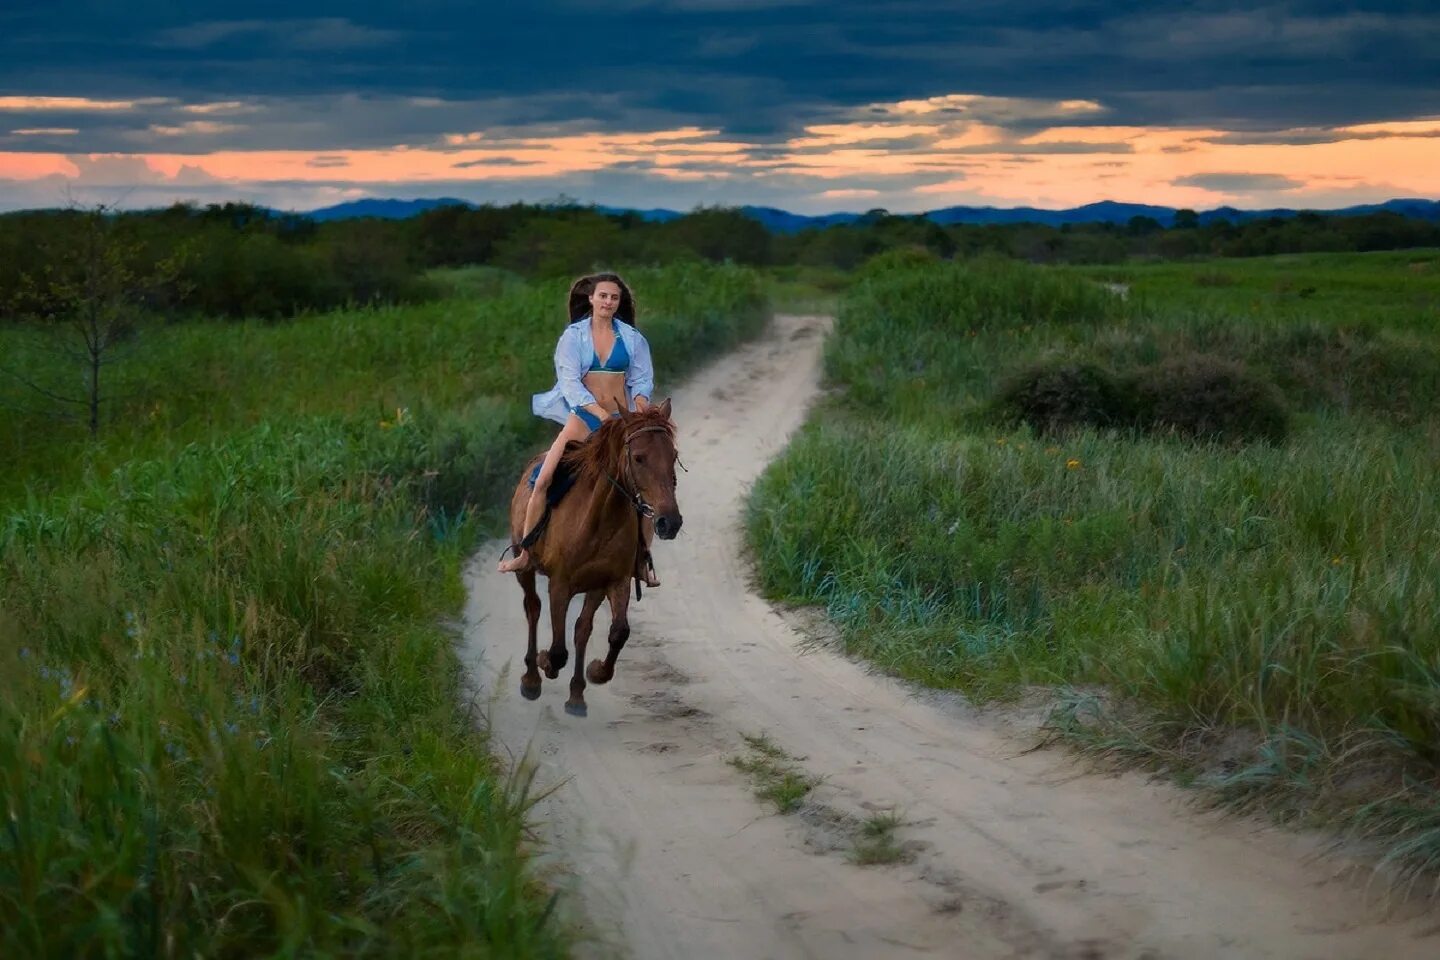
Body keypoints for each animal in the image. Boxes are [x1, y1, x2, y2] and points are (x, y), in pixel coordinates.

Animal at [506, 397, 685, 713]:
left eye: (673, 455)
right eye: (639, 457)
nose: (670, 522)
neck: (598, 520)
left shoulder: (613, 581)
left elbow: (617, 632)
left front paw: (596, 672)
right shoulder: (560, 584)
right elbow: (558, 649)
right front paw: (544, 662)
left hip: (593, 587)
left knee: (582, 628)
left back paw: (577, 695)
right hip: (524, 565)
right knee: (532, 607)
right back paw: (531, 678)